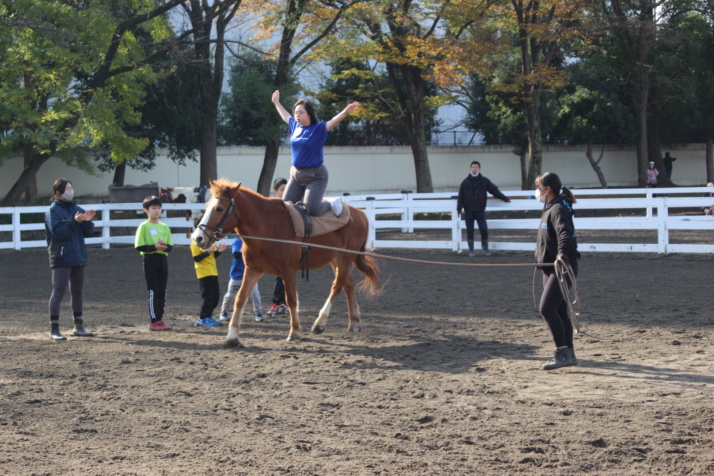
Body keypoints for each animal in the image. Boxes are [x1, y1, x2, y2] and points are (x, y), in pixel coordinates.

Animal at [189, 178, 378, 346]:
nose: (198, 238)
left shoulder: (288, 272)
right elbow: (240, 299)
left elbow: (291, 299)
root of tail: (360, 214)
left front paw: (294, 332)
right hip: (336, 260)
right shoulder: (252, 269)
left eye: (219, 208)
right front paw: (232, 337)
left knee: (337, 286)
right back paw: (354, 323)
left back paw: (320, 323)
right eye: (206, 207)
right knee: (348, 285)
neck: (267, 227)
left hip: (344, 258)